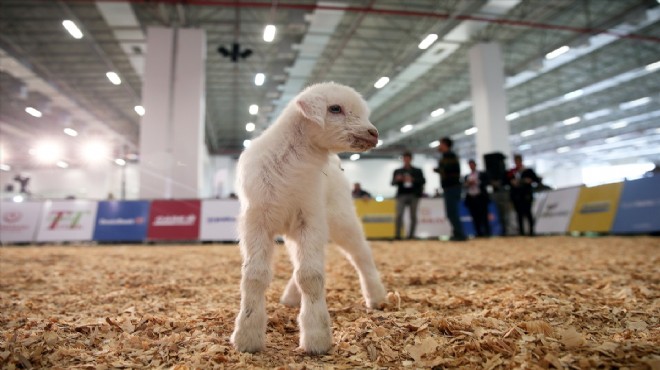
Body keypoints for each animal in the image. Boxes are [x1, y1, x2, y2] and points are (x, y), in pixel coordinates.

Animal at [231, 82, 386, 354]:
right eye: (335, 108)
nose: (373, 133)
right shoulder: (256, 222)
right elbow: (254, 276)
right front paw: (247, 336)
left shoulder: (310, 220)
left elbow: (311, 276)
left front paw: (316, 338)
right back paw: (291, 297)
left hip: (340, 217)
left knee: (361, 255)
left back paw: (376, 297)